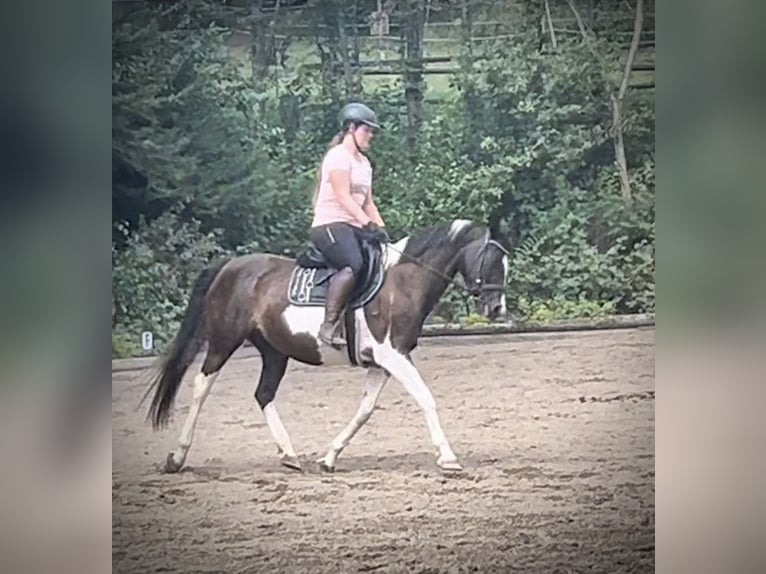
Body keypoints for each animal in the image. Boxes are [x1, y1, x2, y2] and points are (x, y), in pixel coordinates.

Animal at [143, 218, 510, 474]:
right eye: (491, 260)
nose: (497, 309)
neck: (402, 283)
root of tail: (229, 267)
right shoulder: (393, 355)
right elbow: (426, 398)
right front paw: (447, 457)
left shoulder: (381, 364)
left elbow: (365, 411)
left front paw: (330, 457)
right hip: (223, 342)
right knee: (201, 386)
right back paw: (177, 457)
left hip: (274, 351)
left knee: (263, 394)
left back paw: (289, 455)